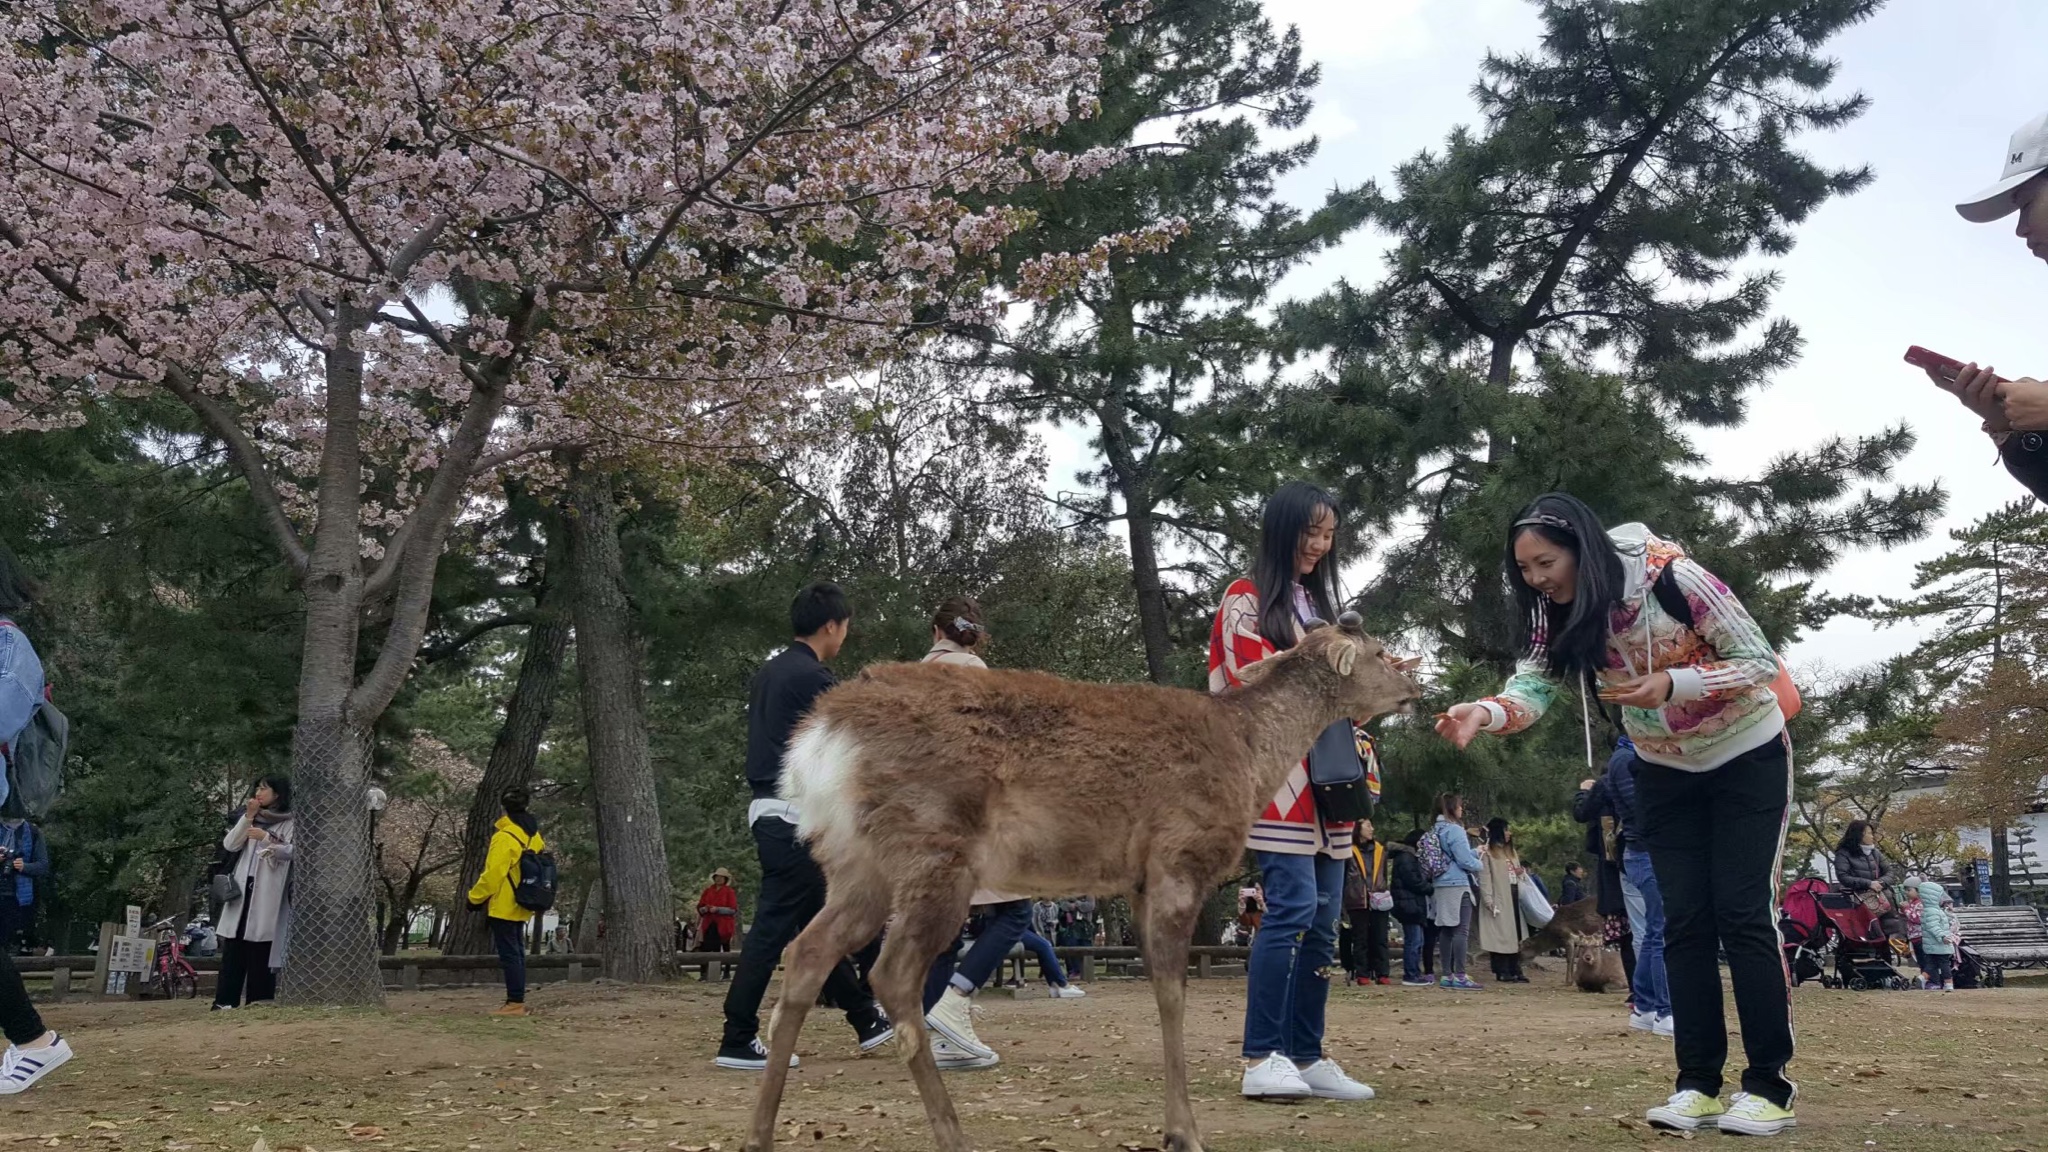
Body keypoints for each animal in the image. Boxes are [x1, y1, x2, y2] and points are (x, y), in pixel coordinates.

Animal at [741, 614, 1425, 1147]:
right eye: (1378, 652)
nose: (1414, 689)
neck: (1251, 756)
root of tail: (817, 747)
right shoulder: (1178, 857)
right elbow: (1173, 994)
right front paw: (1184, 1132)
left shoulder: (1138, 880)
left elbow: (1159, 988)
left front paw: (1173, 1127)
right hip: (933, 848)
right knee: (891, 972)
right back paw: (953, 1134)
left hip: (855, 863)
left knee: (807, 952)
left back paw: (759, 1136)